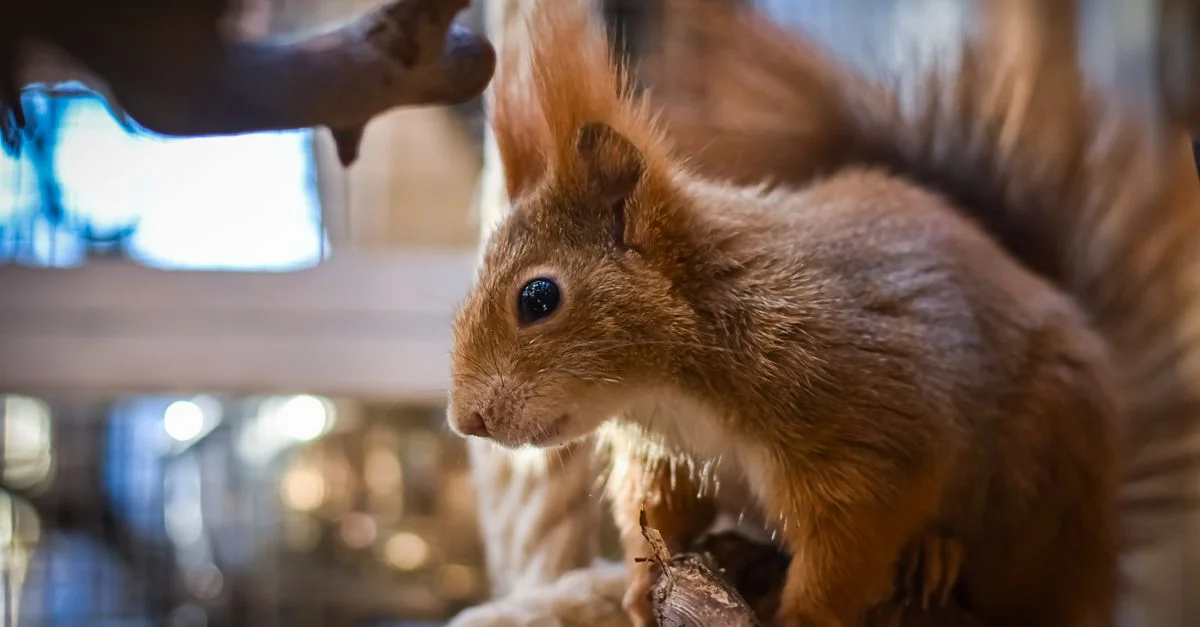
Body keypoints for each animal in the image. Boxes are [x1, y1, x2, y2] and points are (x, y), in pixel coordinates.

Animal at [447, 0, 1200, 626]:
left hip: (1041, 491)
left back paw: (938, 554)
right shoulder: (669, 456)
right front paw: (638, 589)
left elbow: (852, 540)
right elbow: (662, 516)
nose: (466, 421)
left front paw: (802, 617)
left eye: (538, 298)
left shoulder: (863, 425)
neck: (671, 384)